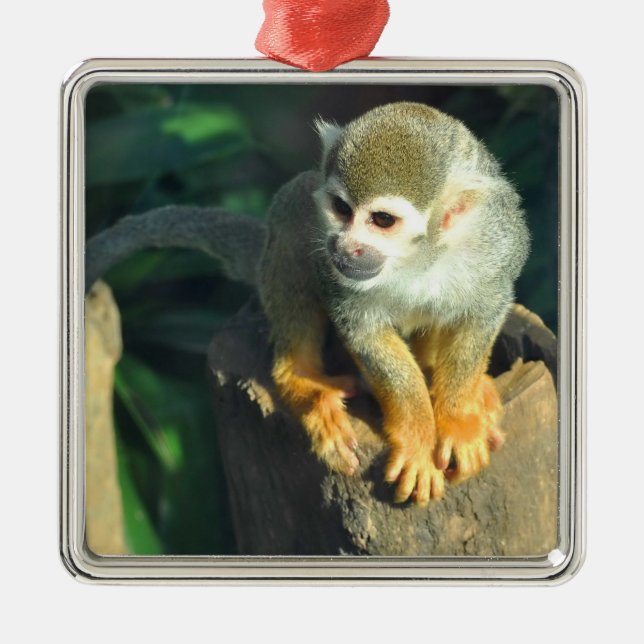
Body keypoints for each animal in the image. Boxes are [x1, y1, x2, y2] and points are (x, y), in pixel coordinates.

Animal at [258, 102, 529, 506]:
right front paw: (418, 437)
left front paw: (457, 418)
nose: (345, 247)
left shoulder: (496, 244)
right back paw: (303, 381)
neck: (417, 257)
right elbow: (365, 332)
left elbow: (482, 314)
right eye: (341, 208)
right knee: (294, 210)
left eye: (382, 220)